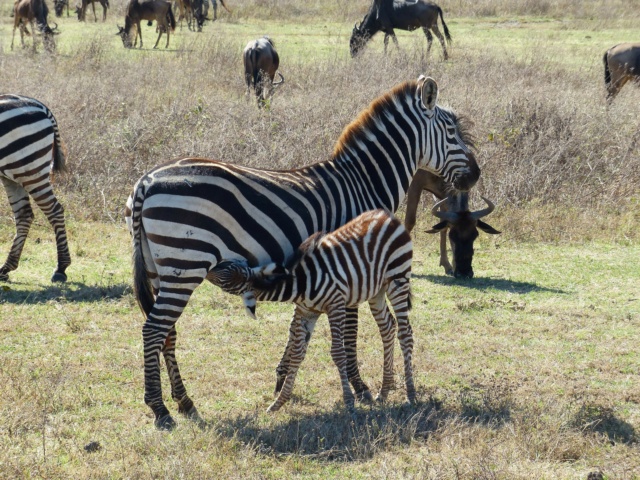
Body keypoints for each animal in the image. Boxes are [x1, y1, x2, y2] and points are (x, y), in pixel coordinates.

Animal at [0, 94, 71, 284]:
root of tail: (38, 105)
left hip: (30, 170)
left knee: (54, 211)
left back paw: (61, 268)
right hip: (13, 175)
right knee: (24, 215)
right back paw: (6, 268)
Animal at [125, 76, 478, 432]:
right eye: (452, 132)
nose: (475, 175)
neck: (363, 182)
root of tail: (146, 181)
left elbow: (303, 331)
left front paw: (282, 380)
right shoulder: (353, 260)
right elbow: (350, 331)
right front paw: (360, 388)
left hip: (160, 269)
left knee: (166, 331)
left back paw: (185, 403)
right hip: (184, 264)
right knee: (154, 329)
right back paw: (160, 410)